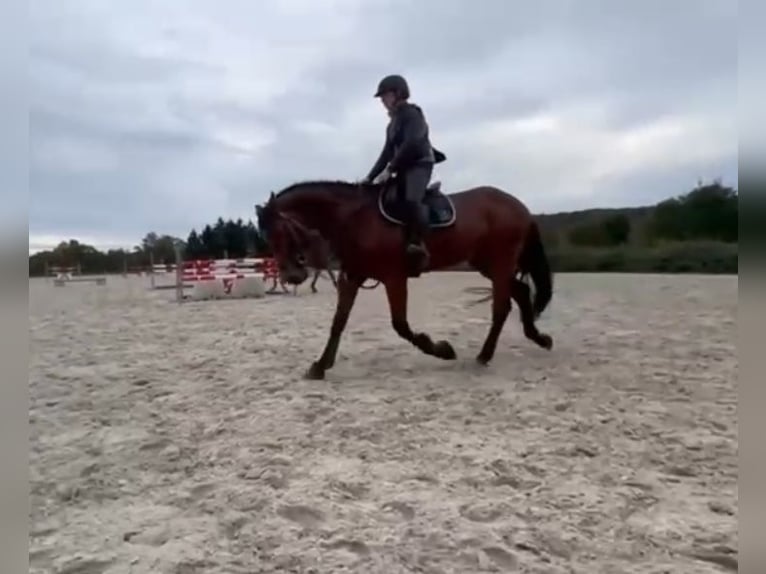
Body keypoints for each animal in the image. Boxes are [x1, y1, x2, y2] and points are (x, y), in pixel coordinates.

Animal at [255, 177, 554, 380]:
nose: (291, 276)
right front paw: (320, 366)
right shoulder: (352, 276)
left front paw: (441, 349)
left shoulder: (394, 277)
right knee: (521, 292)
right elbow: (338, 322)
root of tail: (520, 207)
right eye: (267, 236)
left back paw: (485, 355)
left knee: (501, 307)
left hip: (500, 263)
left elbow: (400, 325)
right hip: (488, 265)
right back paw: (538, 338)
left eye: (280, 231)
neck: (354, 218)